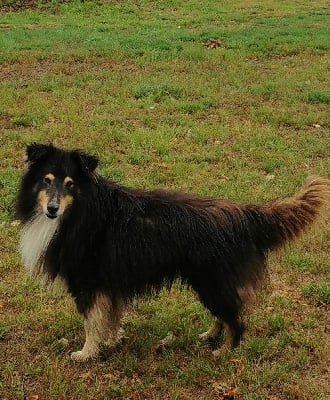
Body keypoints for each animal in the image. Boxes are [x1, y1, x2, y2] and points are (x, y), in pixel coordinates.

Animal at [16, 145, 328, 362]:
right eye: (46, 180)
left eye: (70, 183)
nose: (52, 209)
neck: (82, 209)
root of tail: (245, 215)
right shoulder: (109, 282)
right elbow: (110, 319)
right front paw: (111, 342)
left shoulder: (89, 283)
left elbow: (92, 323)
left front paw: (85, 354)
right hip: (211, 284)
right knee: (225, 314)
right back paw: (209, 336)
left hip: (212, 282)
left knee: (237, 321)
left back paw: (224, 352)